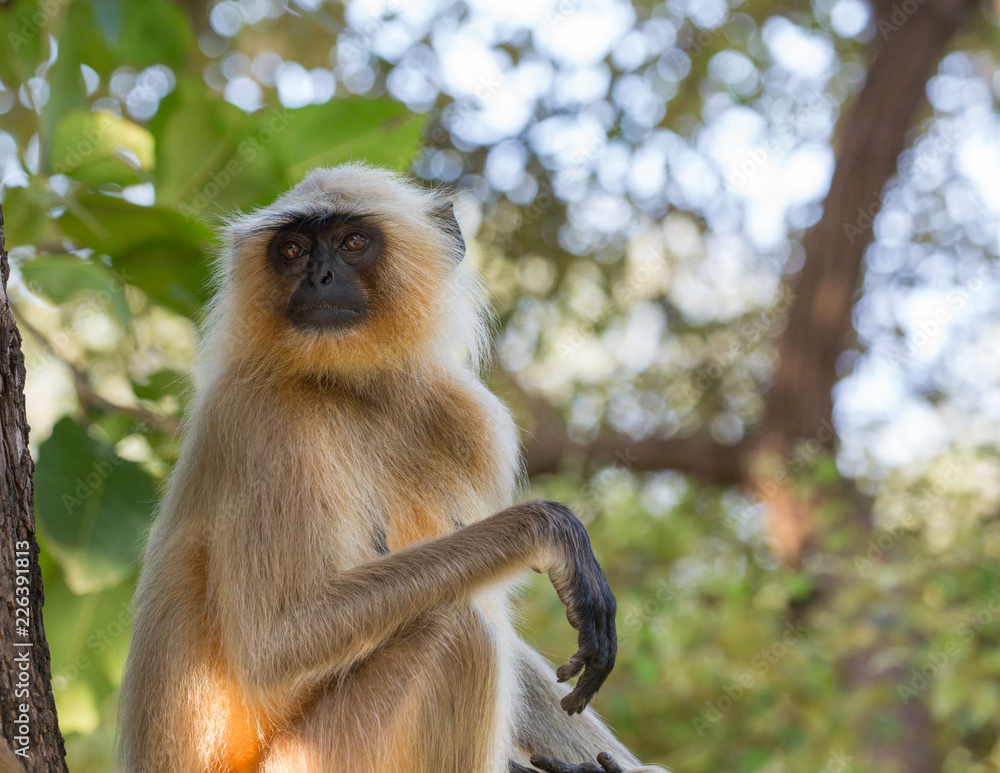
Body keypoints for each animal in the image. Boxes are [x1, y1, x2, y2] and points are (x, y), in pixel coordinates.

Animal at [118, 163, 669, 773]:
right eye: (292, 249)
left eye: (353, 242)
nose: (320, 277)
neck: (354, 389)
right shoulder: (258, 414)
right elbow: (275, 646)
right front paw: (549, 530)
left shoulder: (473, 420)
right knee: (460, 631)